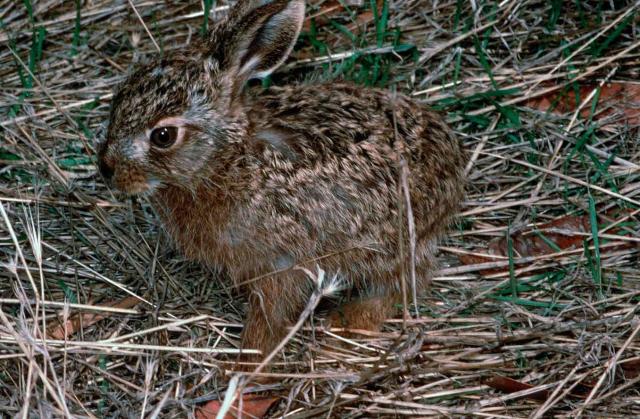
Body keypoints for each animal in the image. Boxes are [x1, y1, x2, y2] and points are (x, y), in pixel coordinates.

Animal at [98, 0, 466, 367]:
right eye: (119, 97)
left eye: (163, 136)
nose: (106, 169)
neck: (224, 159)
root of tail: (451, 163)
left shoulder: (281, 265)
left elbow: (269, 317)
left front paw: (246, 365)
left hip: (387, 242)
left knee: (403, 282)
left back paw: (344, 321)